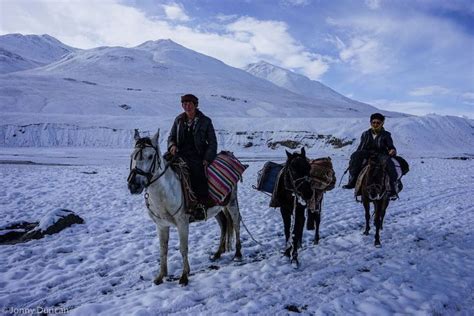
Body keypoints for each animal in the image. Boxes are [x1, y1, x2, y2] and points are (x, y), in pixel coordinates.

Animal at [128, 130, 243, 286]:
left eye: (150, 156)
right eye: (132, 155)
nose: (133, 185)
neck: (165, 192)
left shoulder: (182, 222)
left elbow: (183, 248)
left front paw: (184, 276)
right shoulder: (161, 225)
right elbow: (163, 250)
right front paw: (160, 276)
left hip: (231, 203)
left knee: (236, 223)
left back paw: (238, 254)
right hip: (216, 208)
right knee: (224, 224)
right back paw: (217, 253)